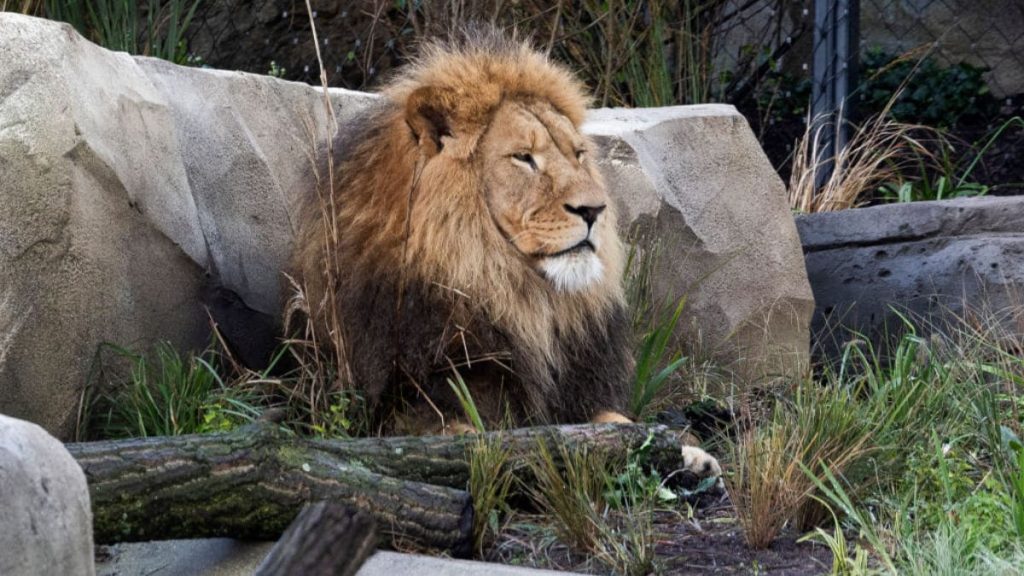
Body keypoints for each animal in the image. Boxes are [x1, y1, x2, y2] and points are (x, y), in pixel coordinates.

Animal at [289, 29, 720, 478]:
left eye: (578, 154)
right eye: (523, 158)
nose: (594, 210)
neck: (515, 293)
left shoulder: (575, 394)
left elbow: (621, 422)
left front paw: (689, 454)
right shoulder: (401, 402)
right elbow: (459, 436)